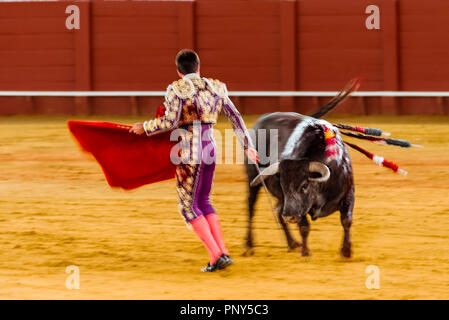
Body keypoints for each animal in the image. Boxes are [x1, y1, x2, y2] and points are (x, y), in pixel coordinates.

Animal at [245, 112, 354, 258]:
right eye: (283, 186)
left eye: (304, 186)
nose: (289, 217)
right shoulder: (299, 207)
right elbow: (304, 226)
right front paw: (305, 252)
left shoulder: (348, 194)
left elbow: (346, 220)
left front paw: (346, 250)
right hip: (252, 179)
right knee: (251, 207)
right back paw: (248, 245)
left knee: (278, 211)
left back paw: (291, 243)